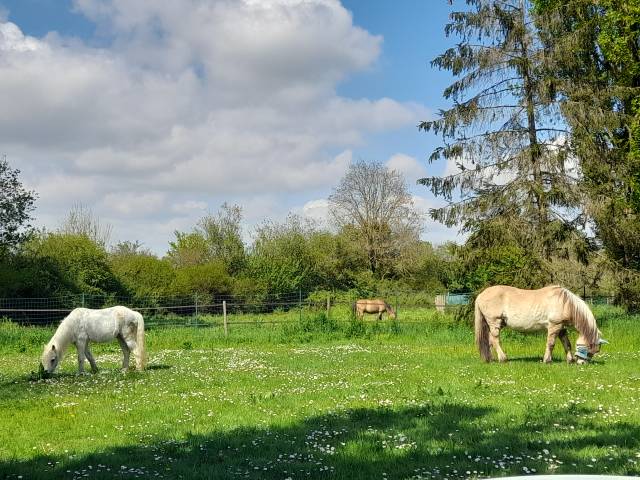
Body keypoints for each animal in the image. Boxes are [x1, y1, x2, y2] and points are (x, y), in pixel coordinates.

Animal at [474, 285, 608, 364]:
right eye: (589, 350)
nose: (582, 363)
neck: (565, 303)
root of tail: (480, 295)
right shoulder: (554, 326)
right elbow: (551, 344)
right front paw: (547, 360)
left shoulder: (561, 328)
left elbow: (567, 344)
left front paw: (570, 360)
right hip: (494, 321)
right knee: (495, 340)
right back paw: (503, 359)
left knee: (490, 340)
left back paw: (491, 359)